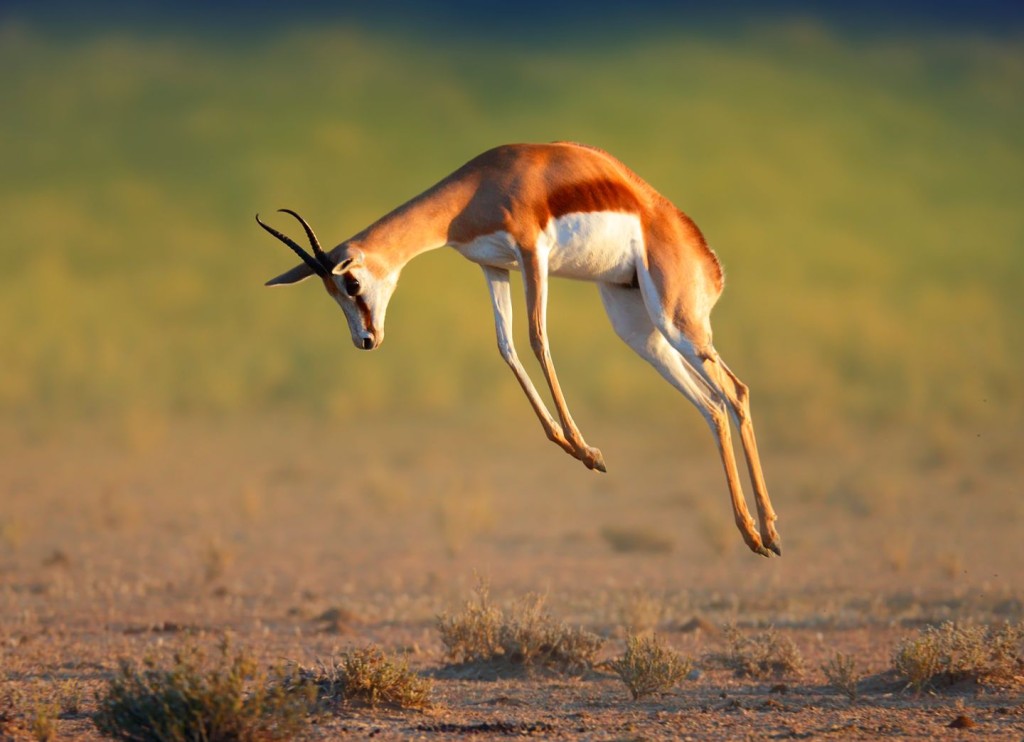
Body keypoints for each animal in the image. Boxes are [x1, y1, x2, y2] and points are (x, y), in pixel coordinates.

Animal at [258, 140, 782, 556]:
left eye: (350, 283)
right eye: (330, 293)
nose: (365, 340)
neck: (478, 189)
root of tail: (703, 255)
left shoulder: (532, 253)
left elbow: (536, 339)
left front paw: (588, 450)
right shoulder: (494, 267)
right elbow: (506, 347)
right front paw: (577, 451)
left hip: (677, 322)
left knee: (735, 391)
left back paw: (770, 534)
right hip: (638, 329)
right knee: (711, 405)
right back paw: (753, 534)